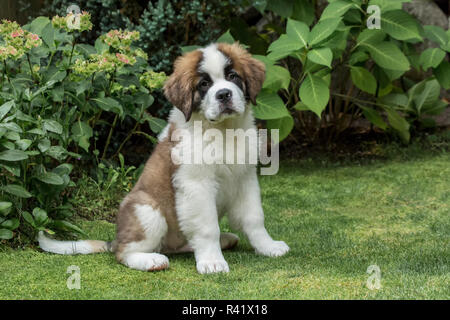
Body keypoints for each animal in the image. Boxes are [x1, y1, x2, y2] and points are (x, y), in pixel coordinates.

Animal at [40, 41, 290, 274]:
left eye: (232, 76)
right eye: (204, 84)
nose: (224, 94)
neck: (223, 131)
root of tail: (115, 239)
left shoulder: (245, 179)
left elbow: (254, 218)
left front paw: (268, 246)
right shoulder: (196, 185)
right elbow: (207, 227)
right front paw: (212, 261)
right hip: (146, 210)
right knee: (124, 252)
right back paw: (150, 260)